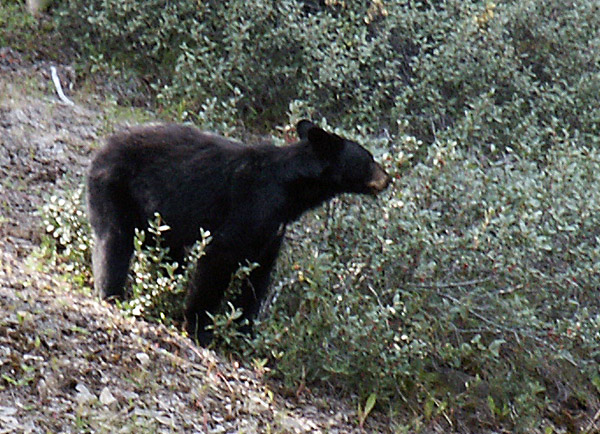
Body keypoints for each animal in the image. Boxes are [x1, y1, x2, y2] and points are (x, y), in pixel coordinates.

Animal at [86, 120, 392, 344]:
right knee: (114, 242)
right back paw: (111, 294)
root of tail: (102, 147)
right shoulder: (251, 207)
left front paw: (245, 333)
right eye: (369, 158)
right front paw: (199, 329)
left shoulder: (273, 230)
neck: (292, 191)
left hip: (156, 219)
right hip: (115, 186)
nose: (388, 178)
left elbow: (258, 277)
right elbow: (219, 259)